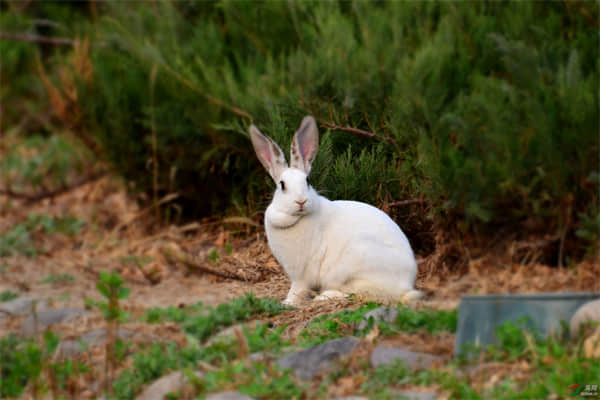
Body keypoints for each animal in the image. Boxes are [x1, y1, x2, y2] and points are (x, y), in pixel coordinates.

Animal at [248, 115, 422, 306]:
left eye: (307, 181)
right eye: (282, 185)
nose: (301, 201)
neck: (295, 218)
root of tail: (407, 284)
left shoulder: (301, 275)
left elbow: (297, 290)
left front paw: (287, 303)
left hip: (356, 263)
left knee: (367, 294)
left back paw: (326, 296)